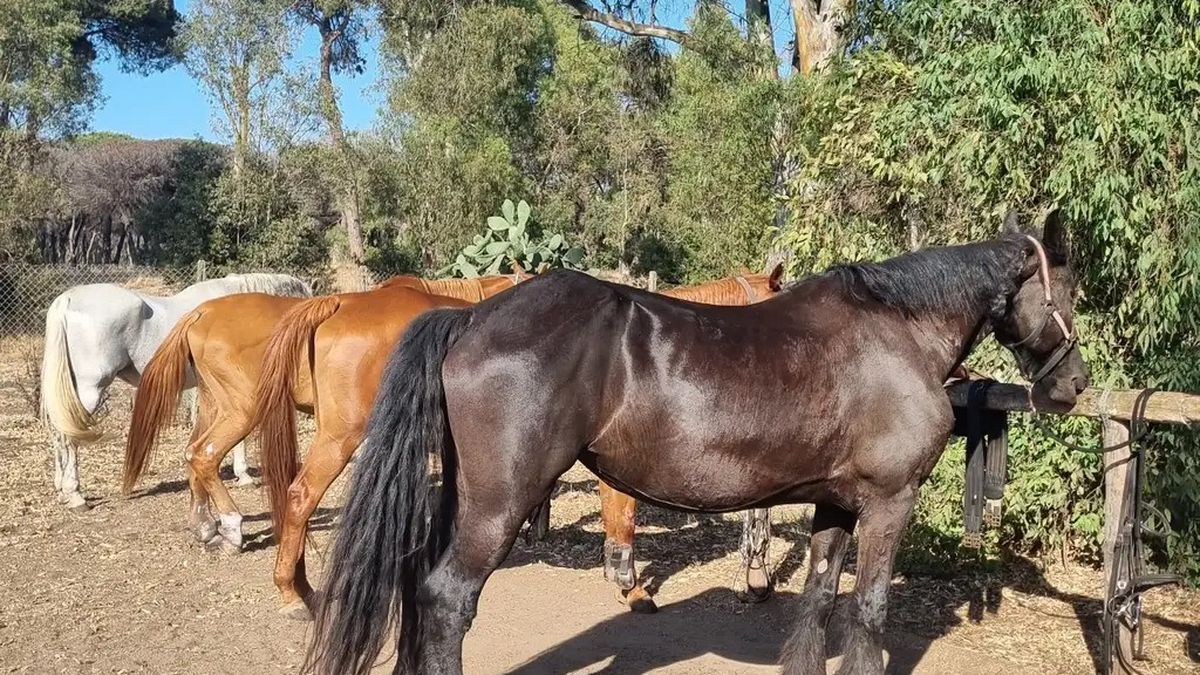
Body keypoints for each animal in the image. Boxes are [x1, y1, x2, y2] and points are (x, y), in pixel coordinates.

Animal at [39, 272, 311, 511]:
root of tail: (68, 299)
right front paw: (243, 475)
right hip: (89, 390)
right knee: (68, 436)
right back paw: (75, 495)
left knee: (57, 432)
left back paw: (61, 490)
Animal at [121, 275, 523, 556]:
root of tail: (202, 312)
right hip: (245, 411)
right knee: (205, 455)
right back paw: (232, 527)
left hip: (213, 406)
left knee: (193, 453)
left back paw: (205, 525)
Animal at [304, 211, 1089, 675]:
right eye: (1069, 288)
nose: (1073, 384)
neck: (896, 334)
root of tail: (468, 319)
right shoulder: (889, 503)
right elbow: (867, 615)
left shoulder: (836, 504)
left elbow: (815, 605)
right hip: (500, 504)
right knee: (446, 600)